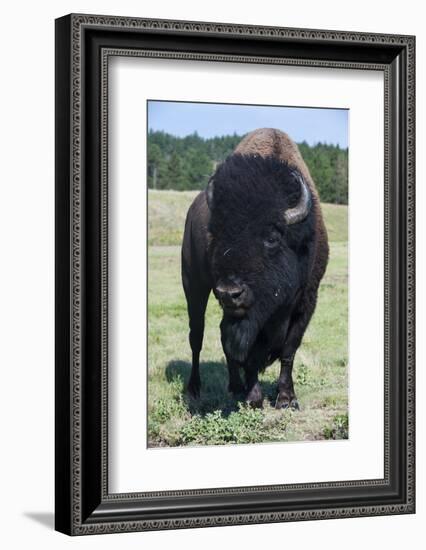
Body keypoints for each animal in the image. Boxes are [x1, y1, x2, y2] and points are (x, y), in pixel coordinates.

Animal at [180, 128, 330, 410]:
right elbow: (248, 352)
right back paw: (195, 388)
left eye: (272, 237)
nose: (230, 293)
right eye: (216, 233)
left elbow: (289, 349)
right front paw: (255, 398)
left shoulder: (307, 301)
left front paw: (286, 399)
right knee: (197, 335)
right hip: (193, 285)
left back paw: (234, 386)